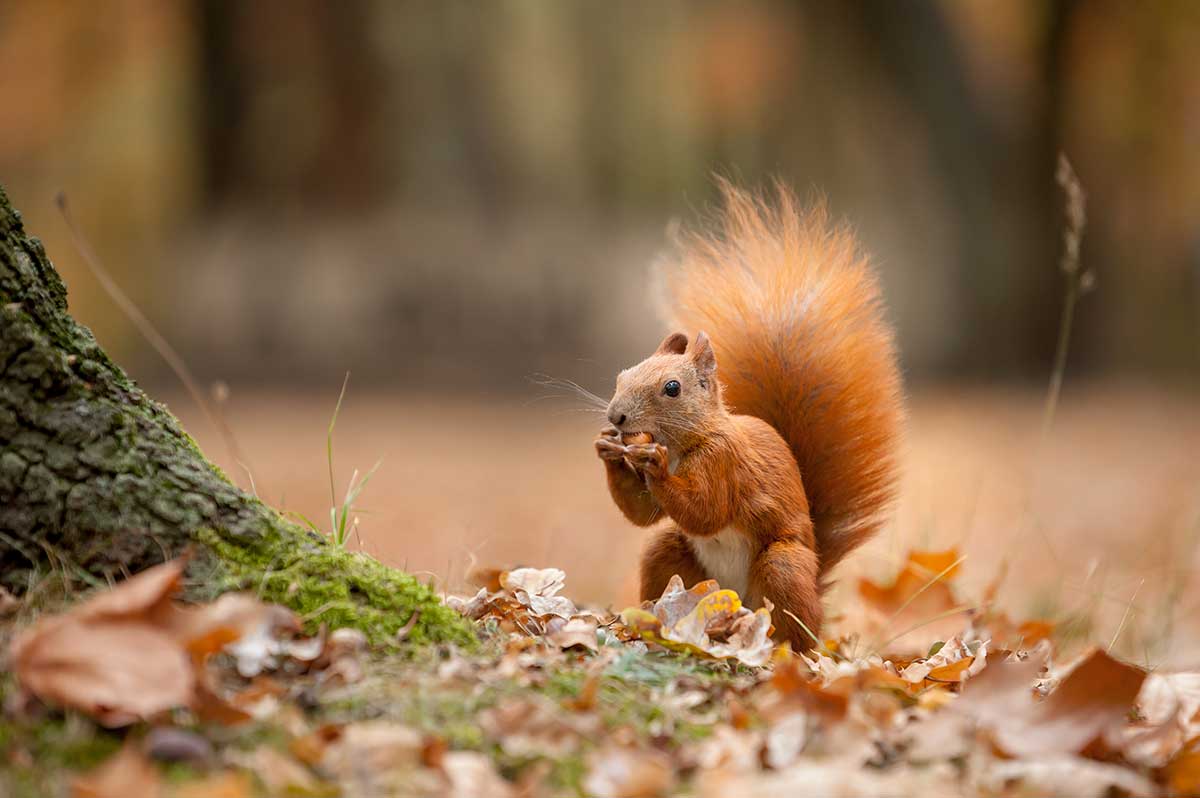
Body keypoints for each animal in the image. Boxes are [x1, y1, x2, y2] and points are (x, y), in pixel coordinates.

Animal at [590, 180, 902, 648]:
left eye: (672, 388)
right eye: (622, 375)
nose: (617, 417)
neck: (687, 443)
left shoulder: (726, 463)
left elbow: (707, 511)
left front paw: (655, 466)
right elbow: (643, 514)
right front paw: (608, 451)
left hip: (782, 566)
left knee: (796, 623)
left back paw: (788, 647)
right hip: (673, 556)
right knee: (663, 552)